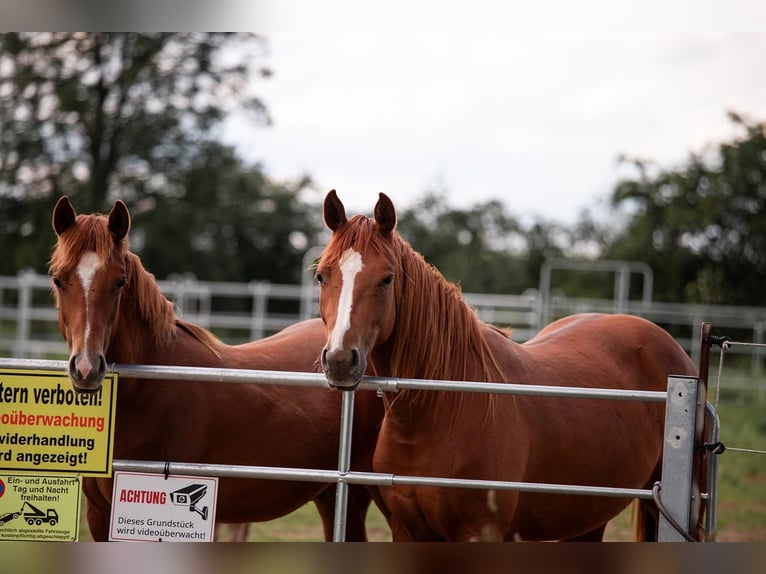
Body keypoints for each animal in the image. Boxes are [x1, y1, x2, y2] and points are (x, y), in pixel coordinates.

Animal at [49, 195, 386, 541]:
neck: (148, 391)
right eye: (58, 280)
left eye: (119, 282)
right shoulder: (100, 515)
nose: (86, 368)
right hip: (331, 497)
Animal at [314, 189, 698, 541]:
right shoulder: (407, 530)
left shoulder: (480, 532)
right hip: (588, 518)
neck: (440, 407)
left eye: (387, 278)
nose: (339, 360)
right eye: (321, 276)